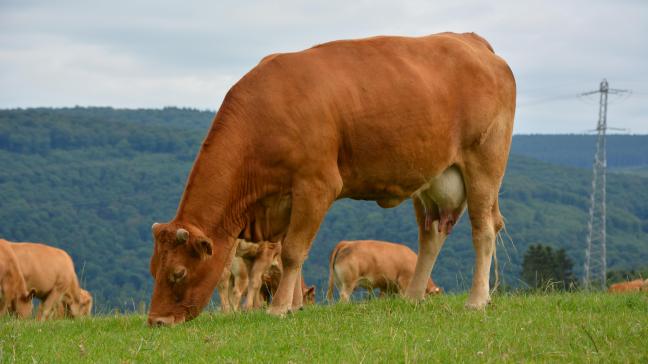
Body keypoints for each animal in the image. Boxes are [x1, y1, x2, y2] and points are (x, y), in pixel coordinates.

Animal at [148, 32, 516, 326]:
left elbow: (293, 252)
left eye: (178, 273)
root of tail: (470, 40)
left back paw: (476, 300)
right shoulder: (284, 201)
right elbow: (291, 257)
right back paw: (413, 297)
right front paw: (293, 306)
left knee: (483, 230)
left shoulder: (316, 185)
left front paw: (278, 309)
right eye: (153, 269)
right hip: (432, 180)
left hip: (484, 164)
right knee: (431, 236)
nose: (156, 321)